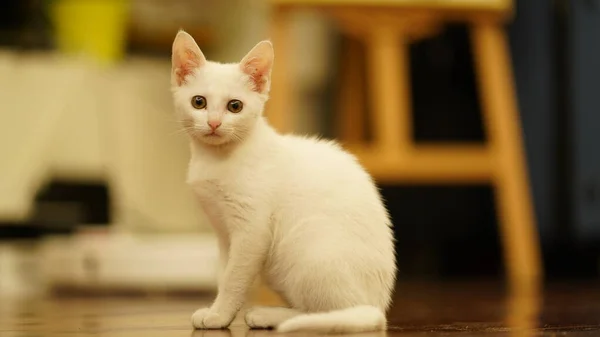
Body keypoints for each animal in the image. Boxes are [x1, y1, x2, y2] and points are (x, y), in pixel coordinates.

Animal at [171, 30, 398, 332]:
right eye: (199, 102)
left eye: (235, 106)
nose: (214, 123)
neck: (216, 159)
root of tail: (380, 304)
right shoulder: (223, 233)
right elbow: (223, 273)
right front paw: (220, 311)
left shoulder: (252, 231)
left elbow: (233, 278)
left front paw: (219, 315)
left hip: (306, 246)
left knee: (336, 311)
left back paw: (269, 316)